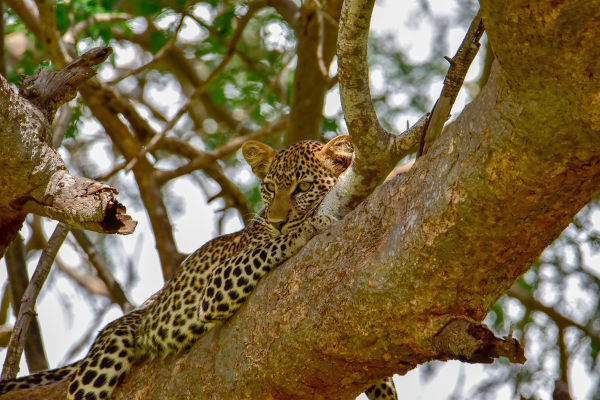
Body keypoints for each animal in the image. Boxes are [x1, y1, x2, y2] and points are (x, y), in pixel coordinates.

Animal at [0, 135, 396, 400]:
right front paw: (307, 225)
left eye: (303, 187)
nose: (278, 220)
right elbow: (273, 244)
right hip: (108, 352)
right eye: (269, 189)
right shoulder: (219, 283)